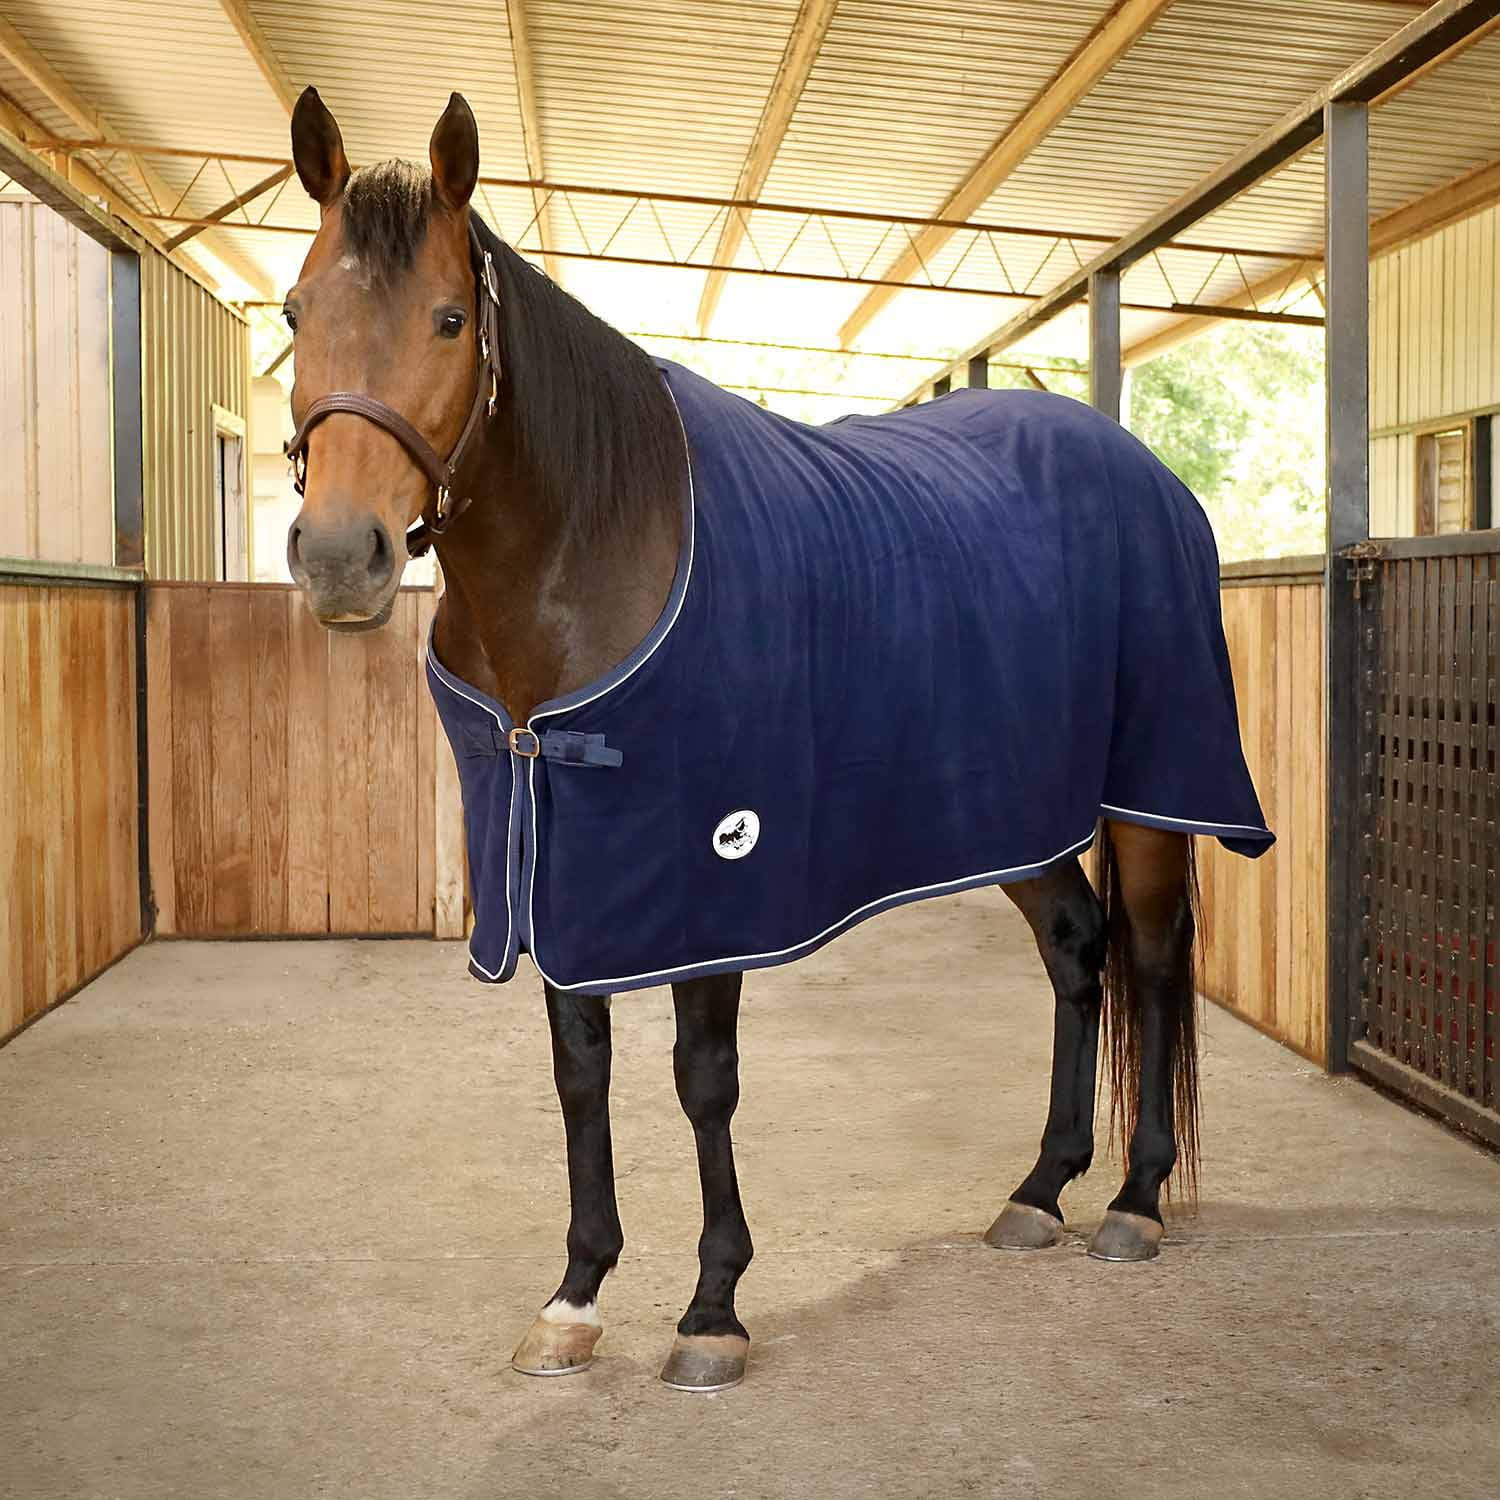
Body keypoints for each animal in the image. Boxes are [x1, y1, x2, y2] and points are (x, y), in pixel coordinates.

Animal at [280, 88, 1272, 1392]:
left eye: (449, 319)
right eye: (296, 311)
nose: (340, 557)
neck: (595, 550)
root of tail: (1149, 474)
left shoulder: (711, 881)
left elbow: (703, 1083)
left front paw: (712, 1308)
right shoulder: (560, 866)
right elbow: (579, 1072)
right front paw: (575, 1296)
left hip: (1150, 792)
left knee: (1151, 962)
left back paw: (1136, 1201)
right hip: (1015, 808)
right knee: (1075, 948)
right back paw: (1040, 1189)